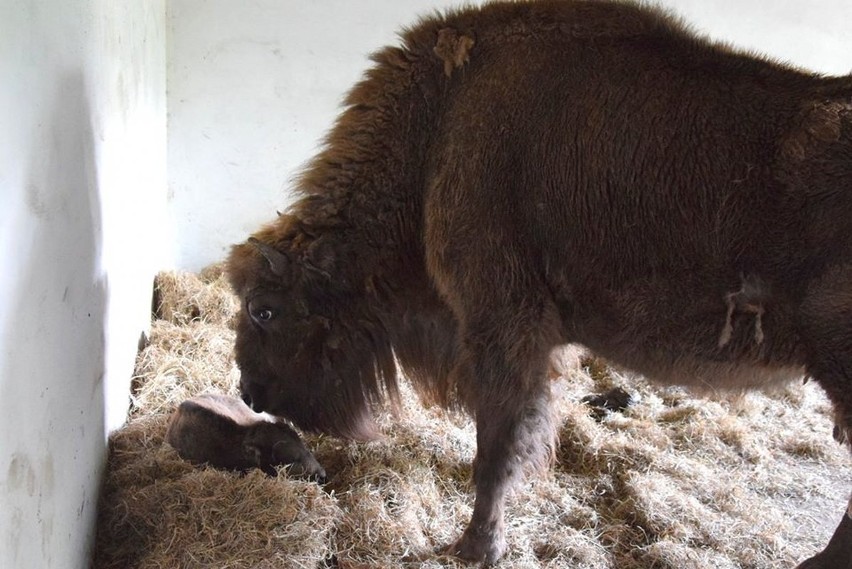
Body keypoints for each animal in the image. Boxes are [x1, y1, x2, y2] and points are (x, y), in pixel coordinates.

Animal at [226, 1, 852, 564]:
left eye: (264, 309)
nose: (249, 392)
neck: (439, 128)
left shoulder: (502, 328)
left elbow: (498, 444)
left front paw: (475, 546)